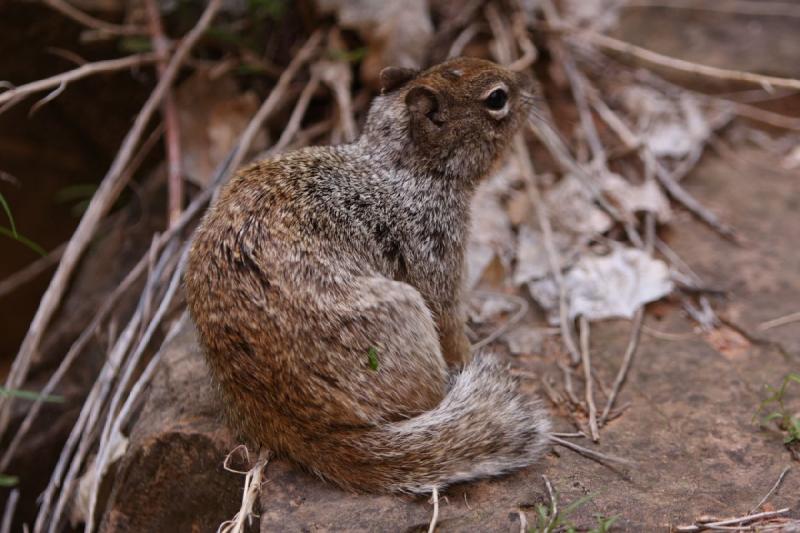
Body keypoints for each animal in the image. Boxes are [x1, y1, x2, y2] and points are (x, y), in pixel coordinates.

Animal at [185, 56, 552, 492]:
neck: (402, 165)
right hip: (405, 315)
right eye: (497, 98)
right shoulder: (434, 254)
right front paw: (470, 353)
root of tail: (295, 425)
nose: (532, 87)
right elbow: (450, 326)